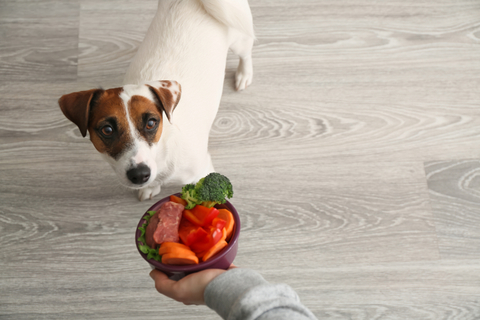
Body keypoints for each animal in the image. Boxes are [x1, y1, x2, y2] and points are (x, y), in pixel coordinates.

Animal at [58, 0, 255, 200]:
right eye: (107, 130)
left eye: (151, 123)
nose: (139, 174)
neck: (162, 152)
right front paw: (150, 188)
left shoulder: (203, 171)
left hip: (239, 33)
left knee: (246, 52)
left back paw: (244, 74)